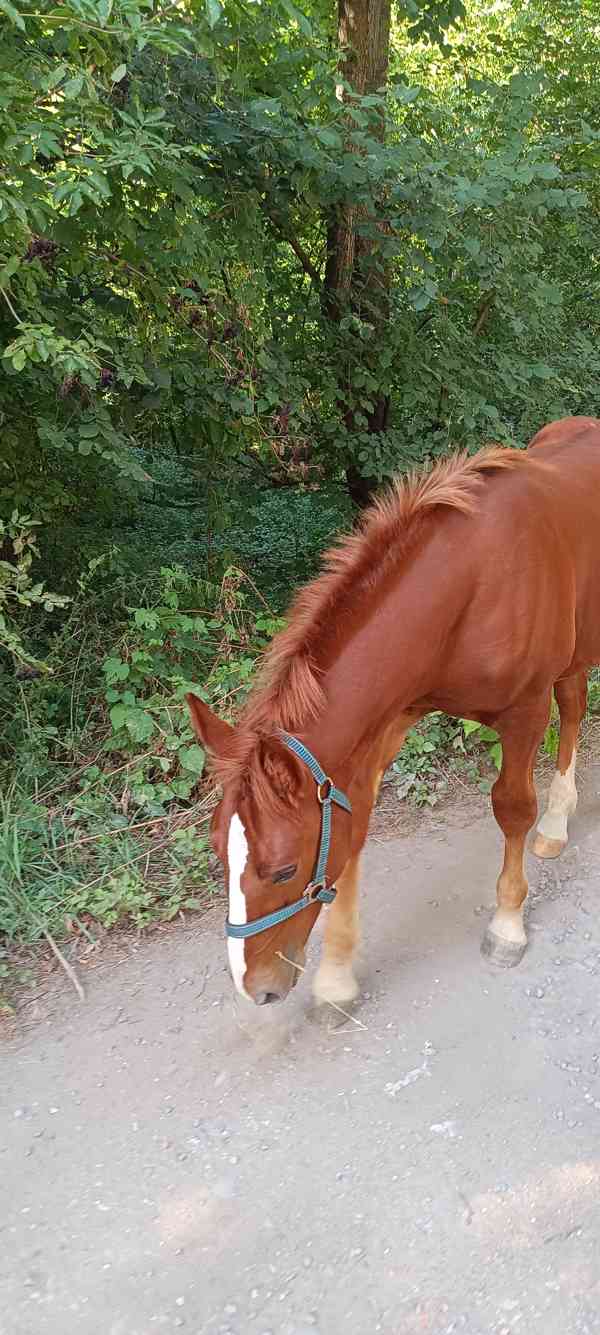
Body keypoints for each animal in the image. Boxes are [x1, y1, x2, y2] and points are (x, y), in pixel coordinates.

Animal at [185, 416, 598, 1009]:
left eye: (283, 870)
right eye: (219, 850)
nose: (256, 988)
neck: (472, 588)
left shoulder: (524, 710)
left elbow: (513, 808)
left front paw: (507, 925)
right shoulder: (386, 723)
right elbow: (353, 829)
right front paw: (336, 978)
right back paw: (558, 825)